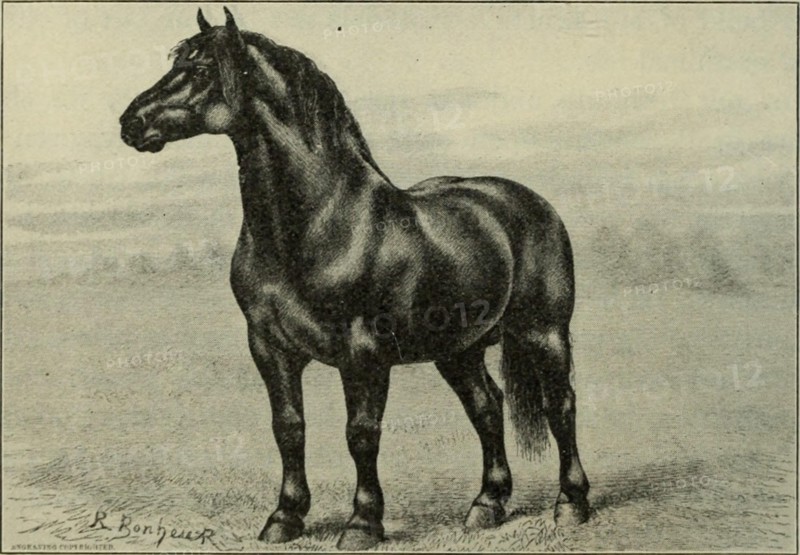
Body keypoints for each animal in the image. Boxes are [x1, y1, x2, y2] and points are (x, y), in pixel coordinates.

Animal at [120, 8, 591, 550]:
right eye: (175, 64)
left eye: (199, 71)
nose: (131, 123)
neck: (318, 225)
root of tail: (530, 202)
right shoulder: (269, 347)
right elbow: (289, 428)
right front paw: (285, 518)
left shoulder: (363, 353)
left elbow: (361, 433)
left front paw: (363, 523)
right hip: (458, 349)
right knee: (487, 407)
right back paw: (487, 505)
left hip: (544, 333)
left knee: (560, 406)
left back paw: (572, 504)